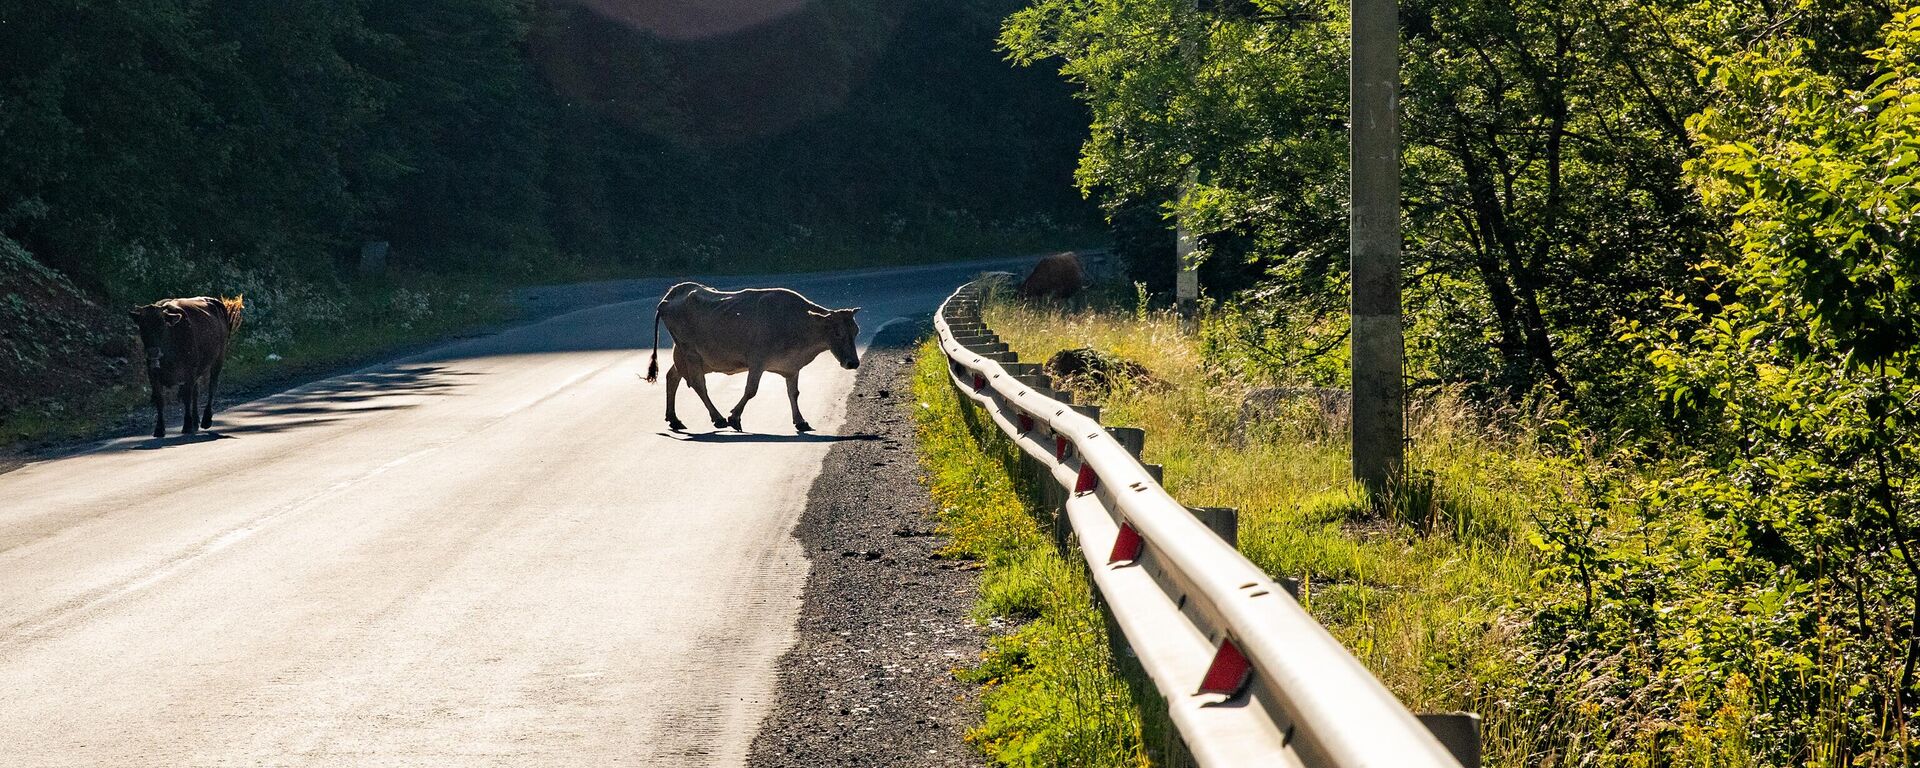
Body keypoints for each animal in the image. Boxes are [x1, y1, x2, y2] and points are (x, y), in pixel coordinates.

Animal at [128, 295, 241, 437]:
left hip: (218, 359)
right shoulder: (153, 375)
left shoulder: (189, 372)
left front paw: (187, 425)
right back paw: (196, 421)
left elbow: (186, 397)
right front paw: (159, 429)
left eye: (162, 325)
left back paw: (206, 420)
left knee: (212, 387)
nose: (153, 352)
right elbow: (160, 400)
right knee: (196, 392)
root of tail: (212, 301)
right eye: (142, 326)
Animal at [641, 284, 860, 435]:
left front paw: (800, 421)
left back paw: (674, 419)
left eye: (856, 331)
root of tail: (670, 295)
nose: (853, 363)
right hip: (691, 353)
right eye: (837, 332)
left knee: (672, 377)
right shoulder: (757, 361)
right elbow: (751, 390)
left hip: (687, 356)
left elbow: (794, 393)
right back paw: (718, 418)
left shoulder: (791, 367)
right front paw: (734, 417)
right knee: (697, 384)